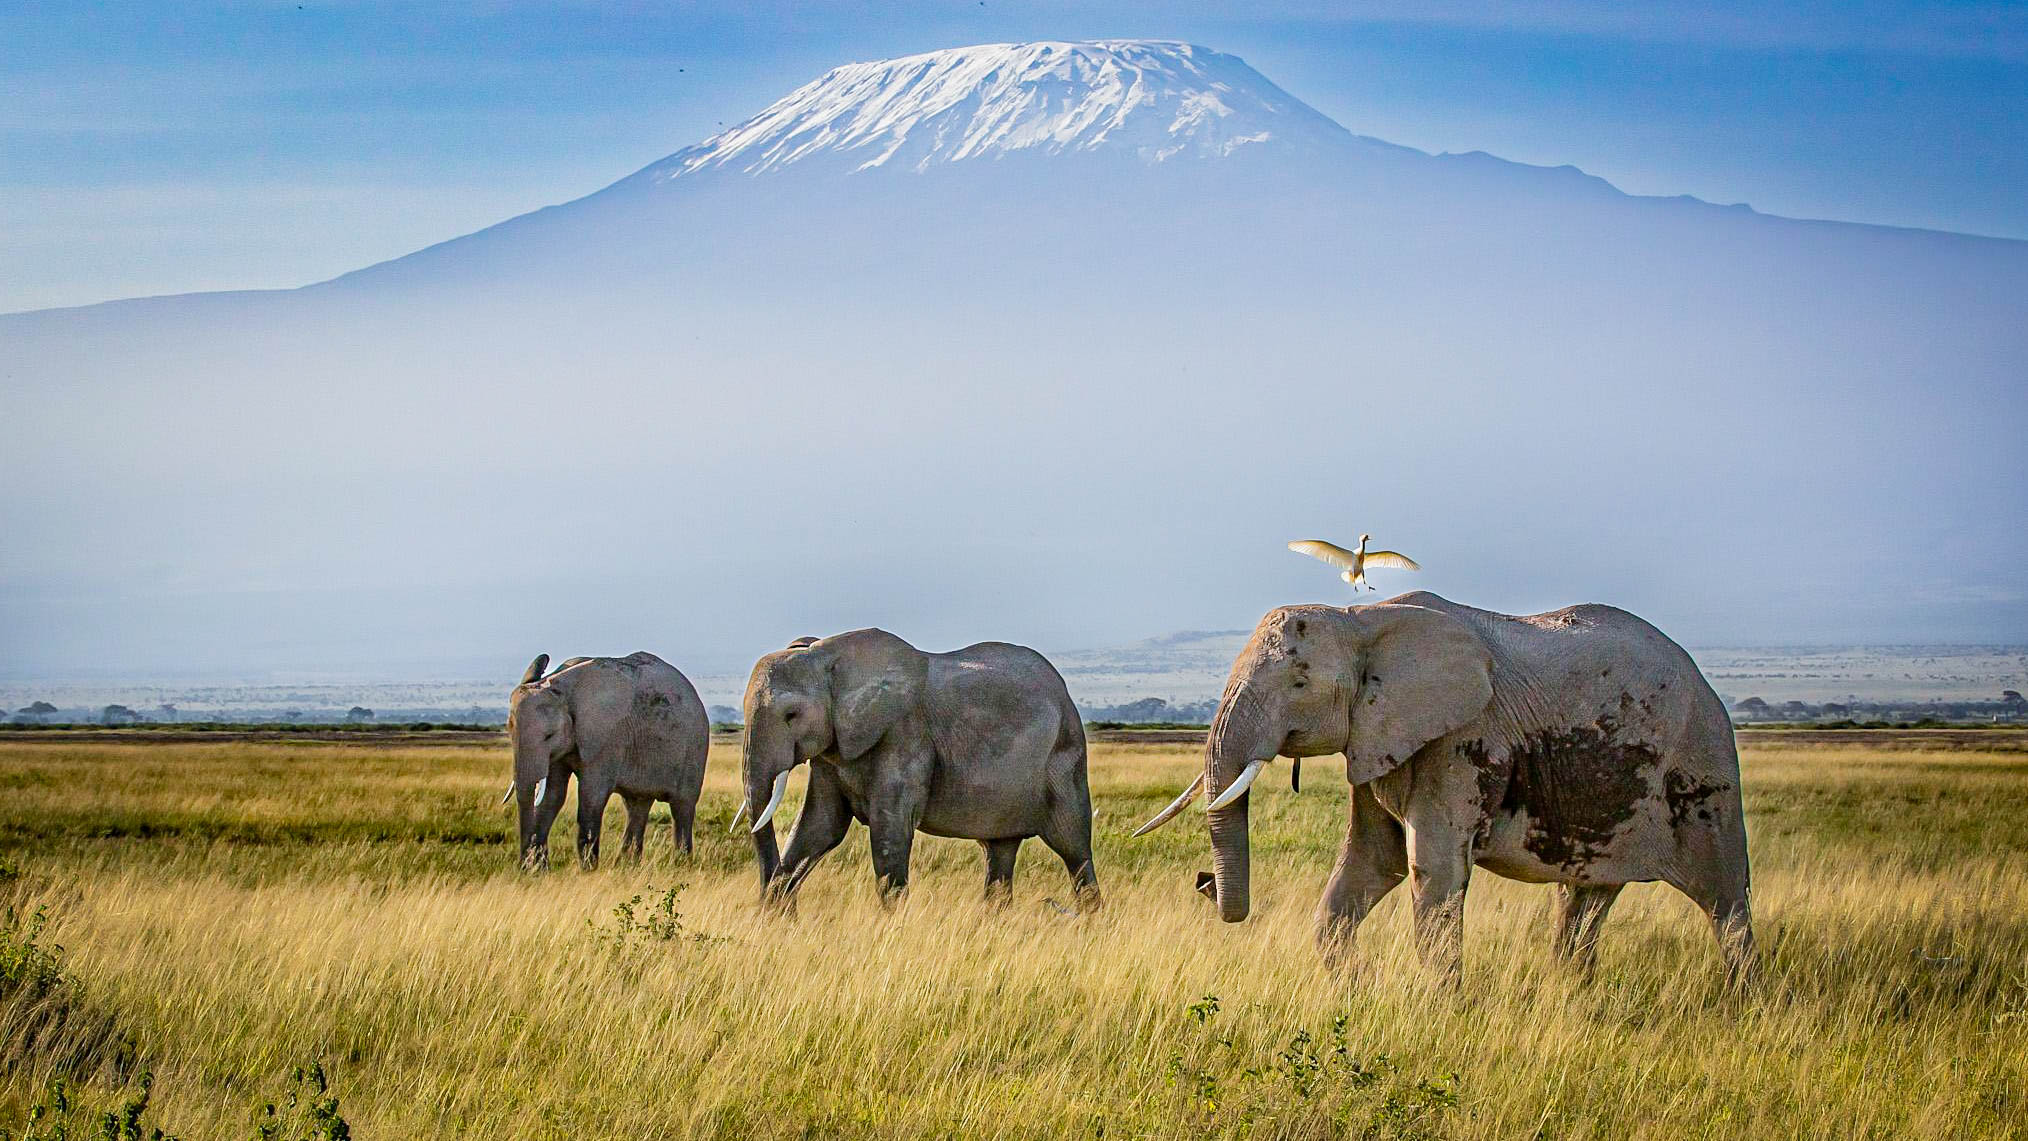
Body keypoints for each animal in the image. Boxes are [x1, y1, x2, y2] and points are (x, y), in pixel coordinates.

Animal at [506, 651, 710, 870]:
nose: (523, 866)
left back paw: (681, 864)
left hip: (694, 748)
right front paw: (538, 870)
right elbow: (553, 796)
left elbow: (591, 796)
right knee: (637, 805)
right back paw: (628, 865)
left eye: (549, 736)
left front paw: (587, 870)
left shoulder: (606, 739)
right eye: (509, 729)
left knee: (682, 805)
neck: (561, 689)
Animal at [738, 629, 1099, 908]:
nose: (783, 910)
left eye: (791, 715)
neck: (827, 655)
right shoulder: (832, 749)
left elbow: (889, 830)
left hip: (1065, 757)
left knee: (1073, 848)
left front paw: (891, 927)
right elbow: (820, 826)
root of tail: (1064, 692)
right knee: (999, 851)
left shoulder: (906, 735)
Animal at [1137, 592, 1752, 983]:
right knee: (1583, 899)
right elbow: (1372, 860)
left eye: (1299, 682)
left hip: (1703, 769)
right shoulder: (1379, 739)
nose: (1202, 883)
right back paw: (1573, 996)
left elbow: (1429, 866)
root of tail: (1703, 679)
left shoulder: (1463, 738)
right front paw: (1358, 988)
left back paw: (1740, 1006)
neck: (1361, 618)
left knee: (1724, 897)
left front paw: (1438, 1010)